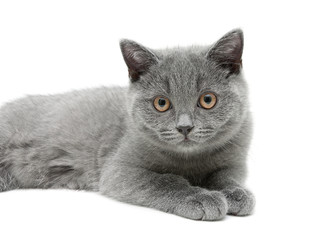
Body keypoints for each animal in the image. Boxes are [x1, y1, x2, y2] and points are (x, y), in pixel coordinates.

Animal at [0, 29, 256, 220]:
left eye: (207, 100)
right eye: (161, 103)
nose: (184, 127)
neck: (189, 160)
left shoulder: (235, 161)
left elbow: (224, 176)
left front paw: (237, 193)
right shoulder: (119, 170)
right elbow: (164, 180)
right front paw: (200, 197)